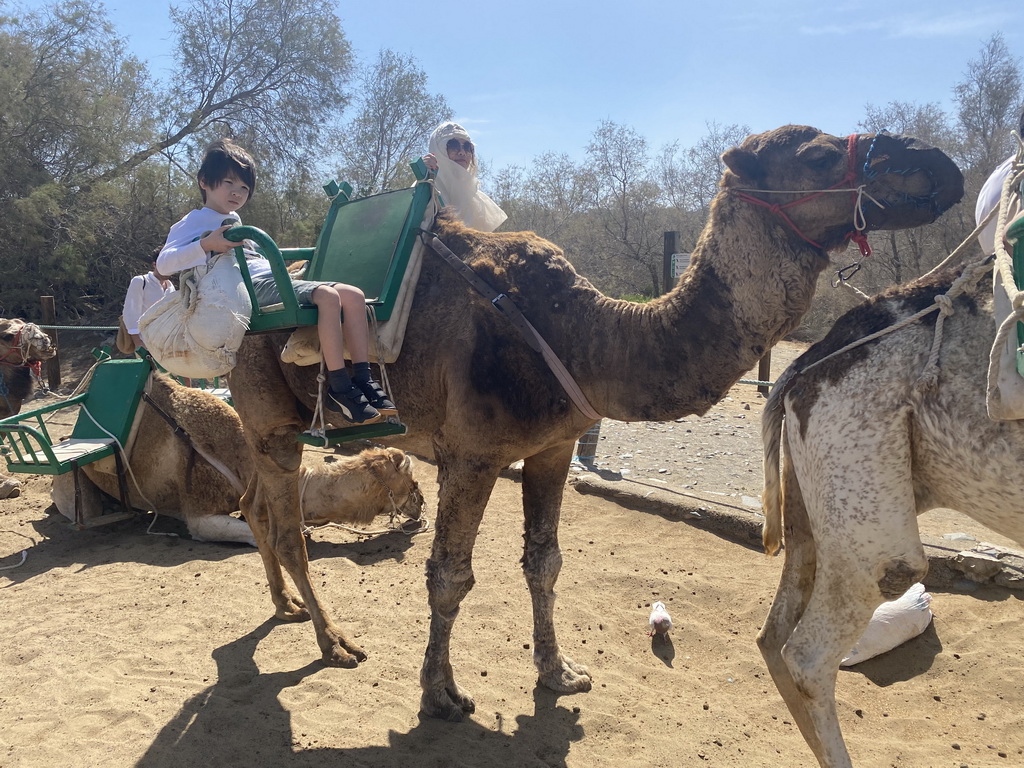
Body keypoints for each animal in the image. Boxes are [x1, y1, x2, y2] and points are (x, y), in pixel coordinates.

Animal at [226, 126, 966, 720]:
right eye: (817, 155)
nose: (939, 165)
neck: (581, 333)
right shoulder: (471, 454)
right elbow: (449, 574)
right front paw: (441, 696)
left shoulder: (552, 448)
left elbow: (545, 562)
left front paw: (558, 673)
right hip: (272, 419)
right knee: (287, 526)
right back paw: (333, 642)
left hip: (267, 429)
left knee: (254, 506)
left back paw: (288, 609)